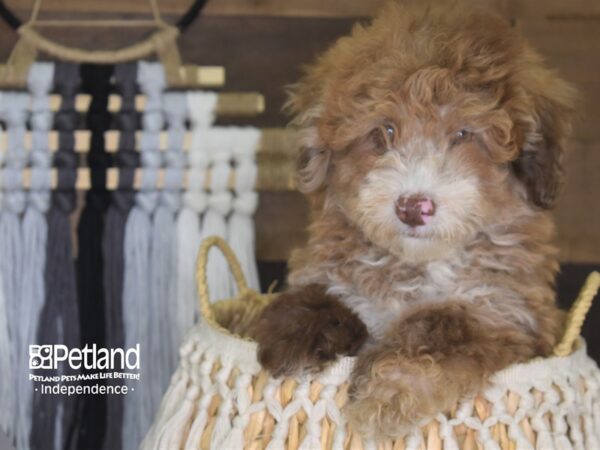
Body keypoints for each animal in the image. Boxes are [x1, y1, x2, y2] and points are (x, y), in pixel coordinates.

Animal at [252, 0, 576, 438]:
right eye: (385, 131)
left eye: (463, 134)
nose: (412, 206)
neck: (418, 266)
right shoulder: (336, 273)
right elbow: (325, 293)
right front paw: (294, 334)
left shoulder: (509, 309)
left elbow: (445, 323)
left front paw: (389, 390)